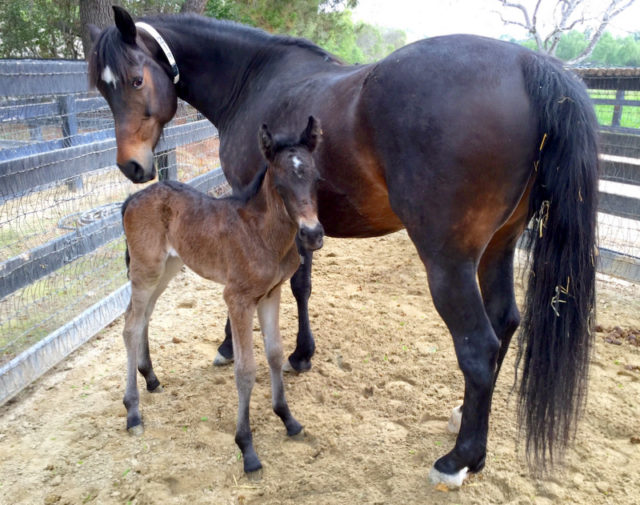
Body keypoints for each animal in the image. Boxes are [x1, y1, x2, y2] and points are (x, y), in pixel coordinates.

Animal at [119, 117, 322, 472]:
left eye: (317, 178)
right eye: (280, 184)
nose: (313, 234)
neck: (263, 233)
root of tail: (133, 199)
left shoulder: (271, 293)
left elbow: (274, 354)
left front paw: (288, 420)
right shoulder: (237, 299)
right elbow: (245, 370)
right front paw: (247, 448)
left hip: (168, 266)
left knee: (144, 315)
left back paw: (152, 379)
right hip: (146, 268)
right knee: (131, 323)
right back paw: (133, 412)